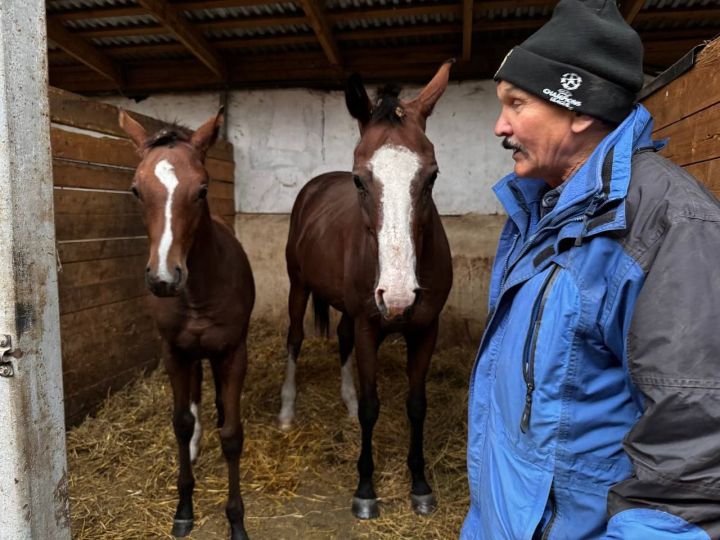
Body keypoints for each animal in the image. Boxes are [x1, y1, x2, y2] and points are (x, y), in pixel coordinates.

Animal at [122, 110, 258, 540]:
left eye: (202, 189)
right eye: (136, 190)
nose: (164, 278)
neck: (197, 293)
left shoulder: (233, 351)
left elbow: (232, 435)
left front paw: (236, 521)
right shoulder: (175, 352)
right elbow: (180, 423)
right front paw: (183, 509)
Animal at [278, 61, 452, 516]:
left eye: (432, 176)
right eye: (359, 180)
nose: (398, 297)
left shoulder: (426, 330)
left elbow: (416, 405)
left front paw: (420, 485)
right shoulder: (369, 328)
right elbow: (375, 406)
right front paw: (365, 490)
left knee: (340, 337)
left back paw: (348, 402)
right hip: (298, 286)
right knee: (295, 337)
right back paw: (286, 410)